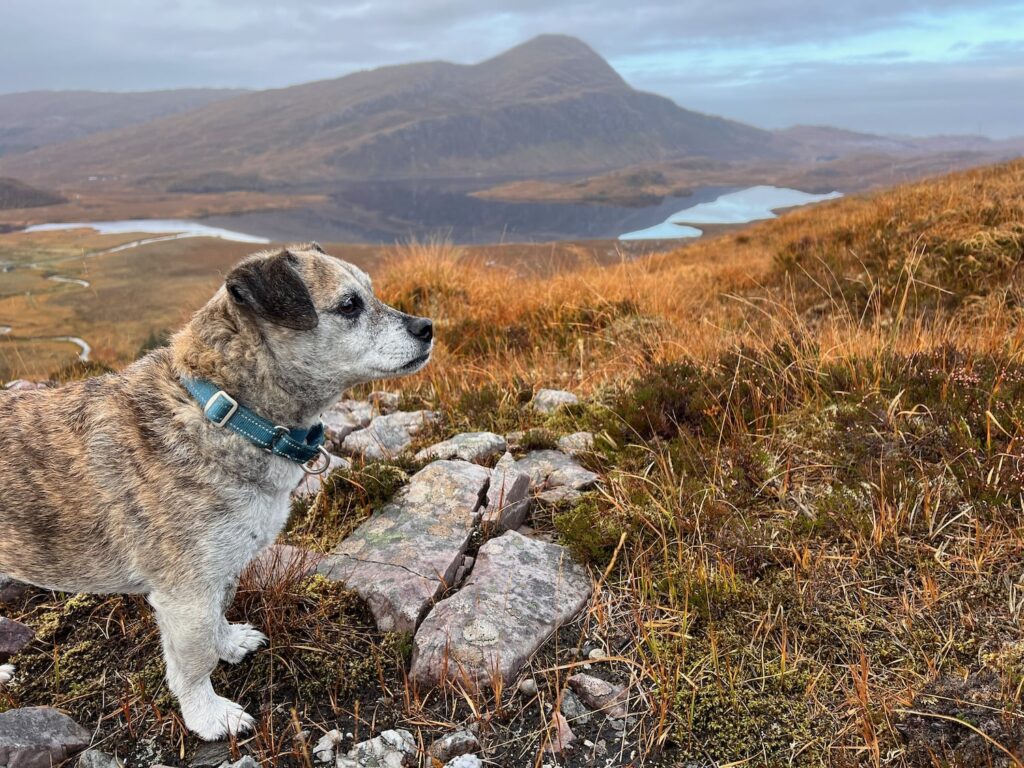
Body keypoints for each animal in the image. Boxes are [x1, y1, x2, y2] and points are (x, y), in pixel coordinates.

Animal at [0, 243, 432, 741]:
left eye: (370, 293)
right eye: (349, 305)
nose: (427, 328)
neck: (227, 412)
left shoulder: (218, 571)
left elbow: (219, 616)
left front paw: (230, 642)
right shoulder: (185, 595)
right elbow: (194, 662)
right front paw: (209, 716)